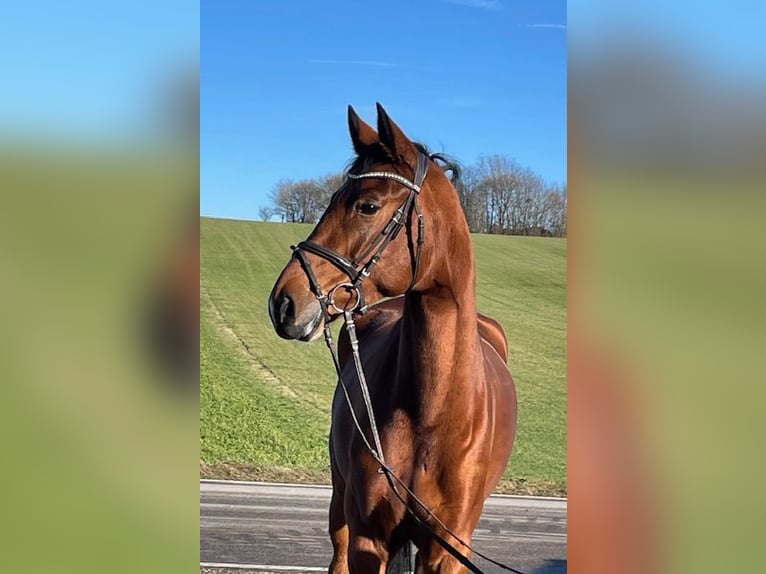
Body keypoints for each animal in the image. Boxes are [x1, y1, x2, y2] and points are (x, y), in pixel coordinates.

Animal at [268, 104, 516, 574]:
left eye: (368, 205)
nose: (284, 302)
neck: (431, 414)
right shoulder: (370, 538)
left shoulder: (448, 551)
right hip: (340, 501)